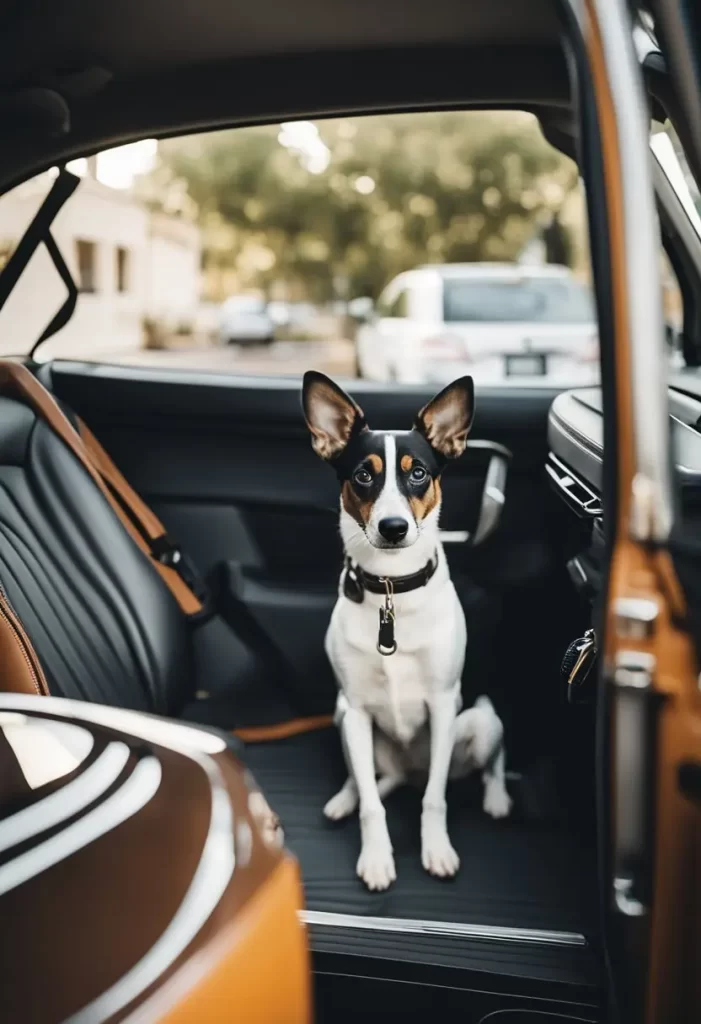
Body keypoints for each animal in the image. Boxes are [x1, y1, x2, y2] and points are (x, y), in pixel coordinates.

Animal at [300, 370, 507, 888]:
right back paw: (346, 797)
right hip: (342, 718)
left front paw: (436, 849)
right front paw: (376, 856)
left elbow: (435, 799)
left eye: (419, 474)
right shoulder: (354, 709)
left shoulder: (444, 704)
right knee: (371, 781)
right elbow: (373, 806)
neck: (392, 587)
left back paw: (498, 798)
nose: (393, 527)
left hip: (481, 721)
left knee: (488, 763)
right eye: (363, 475)